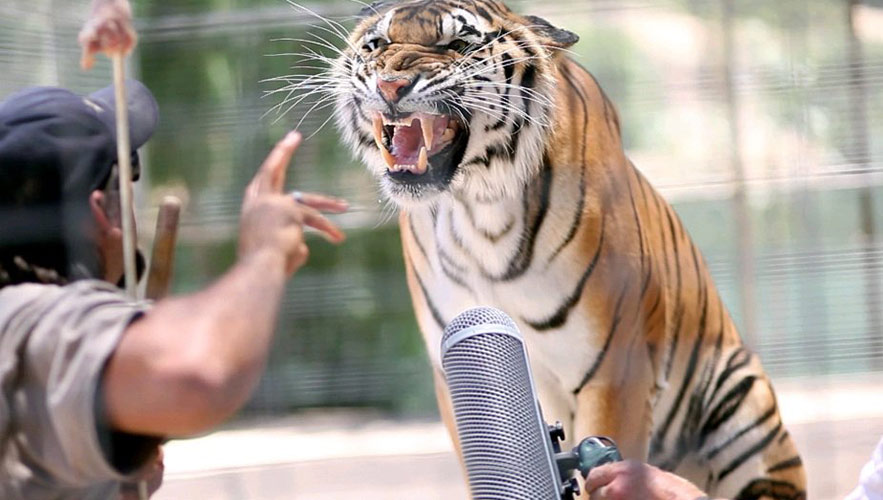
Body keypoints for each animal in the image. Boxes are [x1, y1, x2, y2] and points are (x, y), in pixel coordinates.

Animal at [326, 1, 808, 498]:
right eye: (376, 45)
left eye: (458, 44)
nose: (390, 85)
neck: (476, 210)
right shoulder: (451, 374)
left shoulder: (615, 368)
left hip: (741, 397)